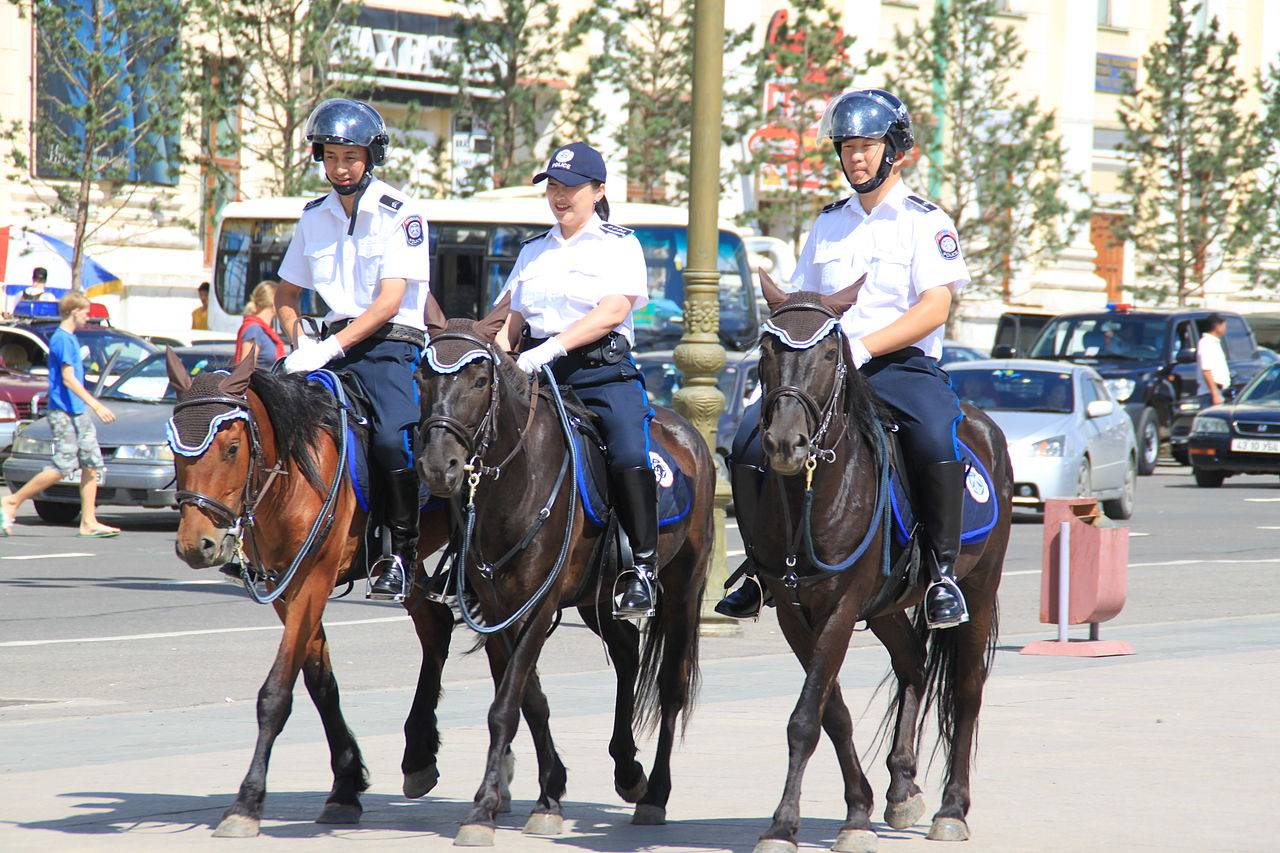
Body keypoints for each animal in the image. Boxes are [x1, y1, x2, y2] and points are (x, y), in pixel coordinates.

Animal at [165, 348, 465, 835]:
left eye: (232, 449)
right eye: (174, 448)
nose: (197, 545)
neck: (292, 473)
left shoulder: (313, 578)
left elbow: (275, 693)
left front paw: (247, 801)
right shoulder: (283, 585)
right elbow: (319, 681)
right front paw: (345, 784)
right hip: (413, 558)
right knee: (436, 626)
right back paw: (419, 755)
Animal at [419, 294, 721, 845]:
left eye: (480, 379)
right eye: (422, 376)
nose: (438, 466)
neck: (514, 483)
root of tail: (687, 431)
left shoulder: (537, 606)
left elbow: (505, 706)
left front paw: (483, 808)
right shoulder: (498, 609)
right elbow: (529, 699)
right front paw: (548, 795)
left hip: (683, 590)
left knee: (671, 684)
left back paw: (655, 793)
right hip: (597, 597)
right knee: (626, 655)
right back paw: (627, 770)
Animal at [747, 274, 1013, 850]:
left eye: (829, 353)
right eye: (766, 350)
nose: (784, 442)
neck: (811, 494)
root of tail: (984, 423)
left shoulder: (841, 607)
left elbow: (806, 718)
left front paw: (784, 824)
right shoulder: (795, 615)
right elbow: (832, 715)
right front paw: (856, 809)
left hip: (979, 589)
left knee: (967, 689)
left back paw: (952, 809)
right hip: (888, 606)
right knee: (914, 664)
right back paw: (903, 785)